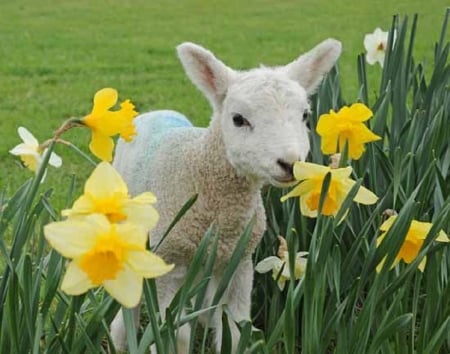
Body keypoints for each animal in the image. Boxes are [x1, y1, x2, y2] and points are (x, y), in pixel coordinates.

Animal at [110, 38, 342, 352]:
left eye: (305, 115)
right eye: (238, 119)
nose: (290, 164)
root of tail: (155, 111)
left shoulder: (240, 262)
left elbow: (234, 328)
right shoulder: (169, 261)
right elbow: (175, 334)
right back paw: (122, 336)